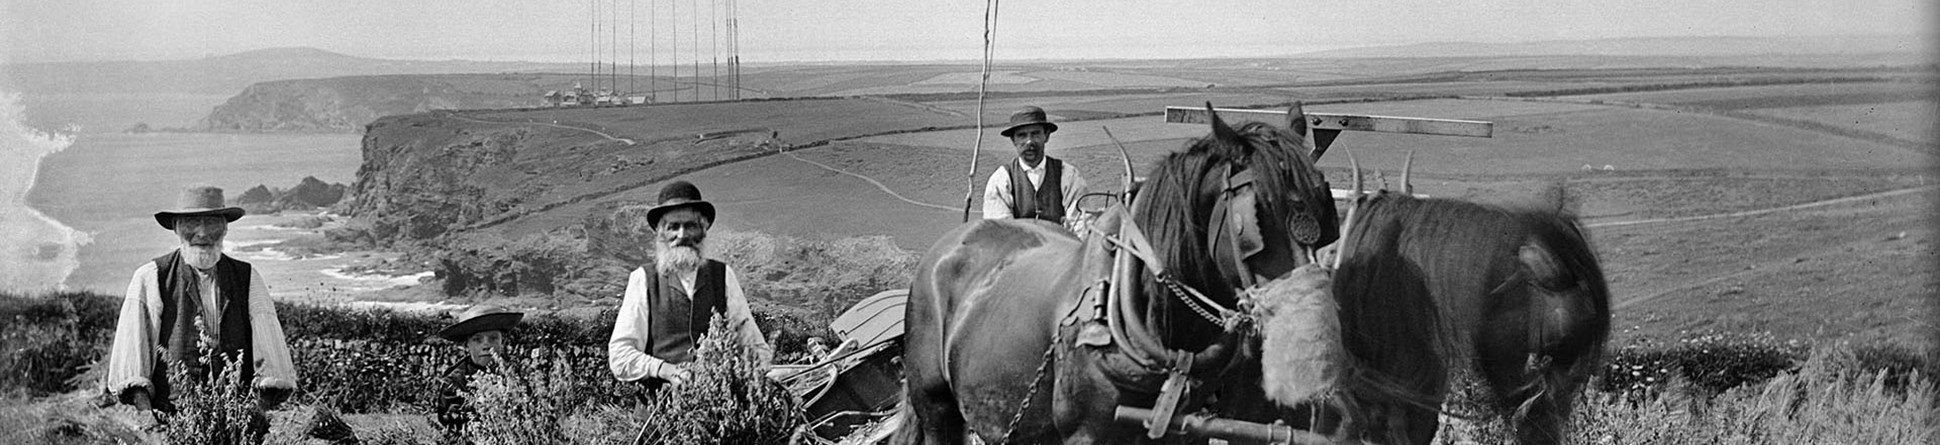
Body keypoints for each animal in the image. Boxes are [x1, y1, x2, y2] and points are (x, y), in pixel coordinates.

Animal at [896, 105, 1342, 443]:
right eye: (1255, 215)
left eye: (1325, 205)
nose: (1312, 328)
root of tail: (949, 245)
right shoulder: (1087, 435)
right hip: (936, 407)